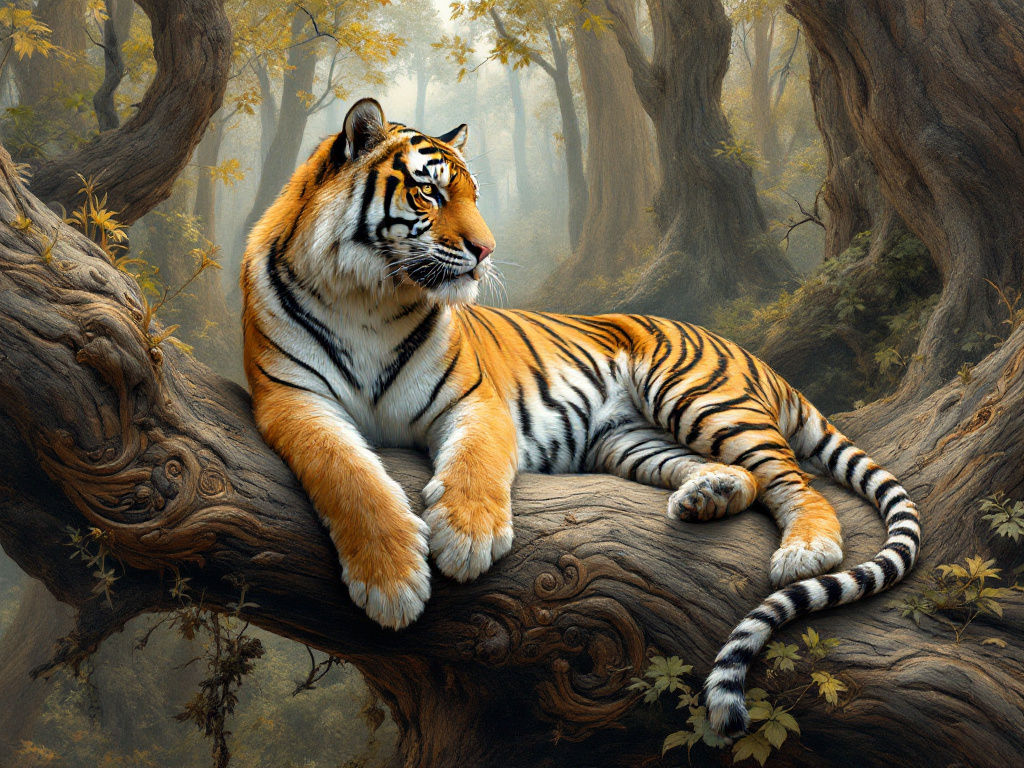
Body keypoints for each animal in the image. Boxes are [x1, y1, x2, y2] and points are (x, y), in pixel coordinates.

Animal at [240, 98, 921, 735]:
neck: (368, 295)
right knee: (745, 476)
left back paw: (807, 548)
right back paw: (709, 494)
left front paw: (466, 538)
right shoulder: (293, 400)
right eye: (429, 190)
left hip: (695, 393)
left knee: (796, 481)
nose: (486, 250)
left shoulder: (474, 398)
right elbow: (347, 474)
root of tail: (748, 352)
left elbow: (475, 463)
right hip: (626, 439)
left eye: (473, 194)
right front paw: (390, 580)